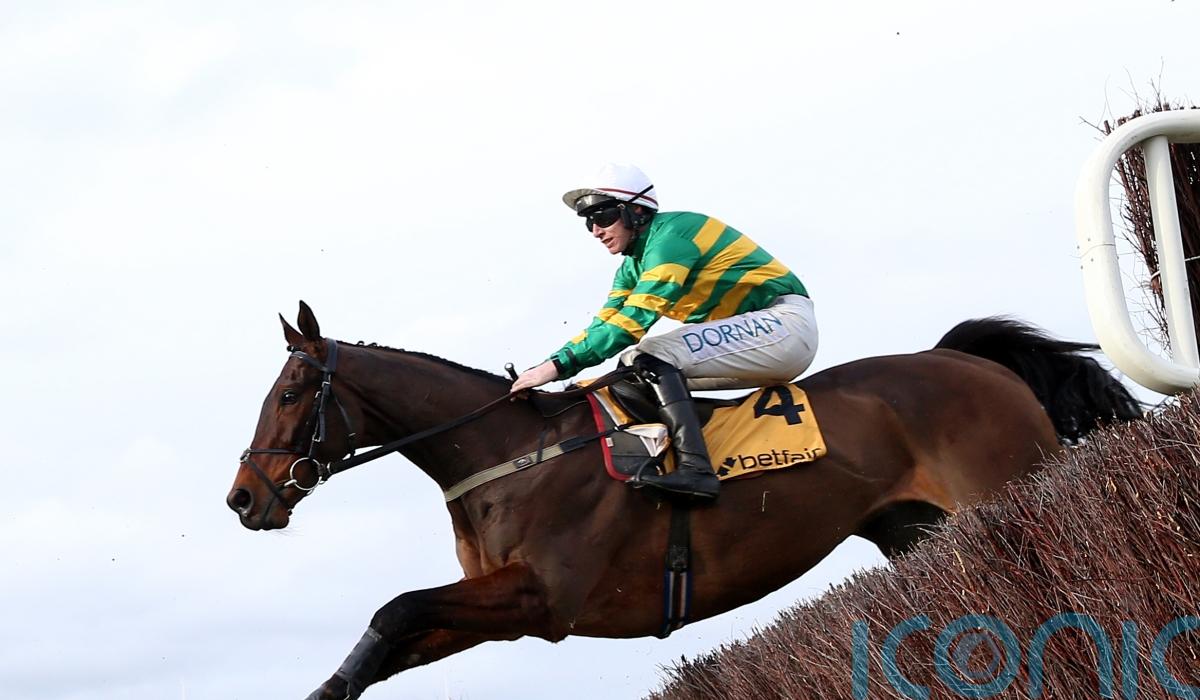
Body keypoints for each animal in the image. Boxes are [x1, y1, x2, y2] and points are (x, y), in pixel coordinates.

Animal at [227, 302, 1141, 699]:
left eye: (292, 391)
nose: (243, 498)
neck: (507, 455)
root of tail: (964, 358)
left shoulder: (541, 598)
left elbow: (396, 606)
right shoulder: (494, 605)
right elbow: (393, 634)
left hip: (1011, 482)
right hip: (918, 531)